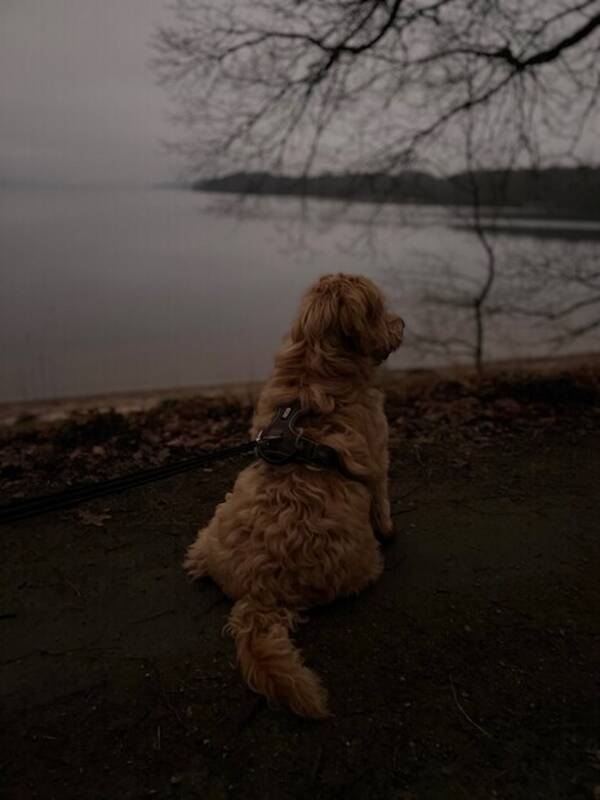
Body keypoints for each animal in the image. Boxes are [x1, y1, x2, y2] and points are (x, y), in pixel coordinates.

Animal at [185, 274, 406, 720]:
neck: (316, 367)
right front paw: (390, 531)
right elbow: (382, 503)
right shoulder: (379, 458)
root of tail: (260, 596)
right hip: (358, 563)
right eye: (380, 309)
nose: (402, 324)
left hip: (218, 519)